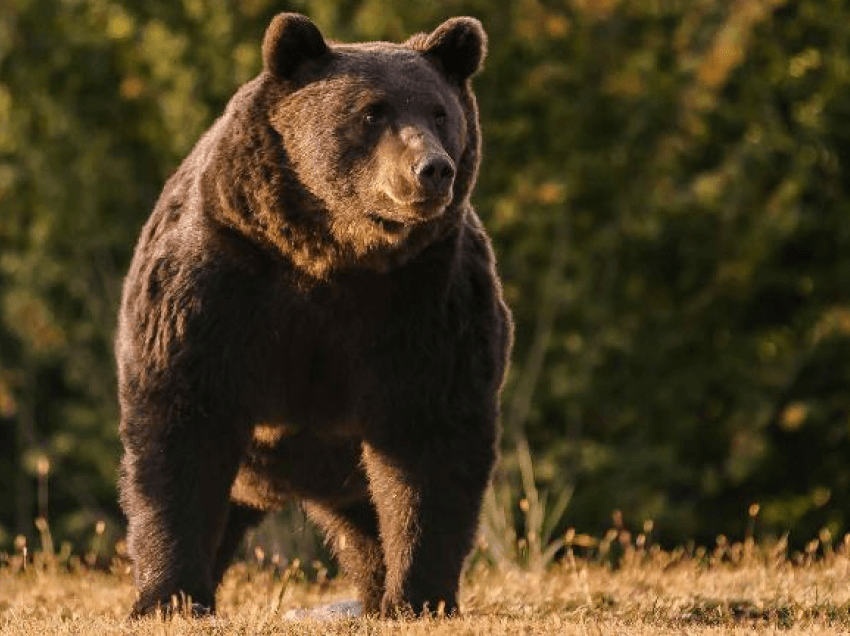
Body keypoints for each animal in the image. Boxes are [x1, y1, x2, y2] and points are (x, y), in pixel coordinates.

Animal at [113, 12, 510, 620]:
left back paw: (376, 595)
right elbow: (180, 427)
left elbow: (430, 442)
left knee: (368, 526)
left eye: (440, 112)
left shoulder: (428, 301)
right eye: (372, 111)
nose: (432, 169)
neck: (332, 252)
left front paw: (419, 596)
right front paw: (167, 597)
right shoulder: (219, 283)